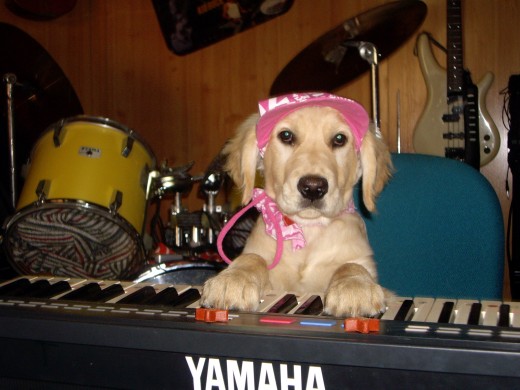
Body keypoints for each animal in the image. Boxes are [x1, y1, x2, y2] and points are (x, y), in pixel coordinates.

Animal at [201, 92, 392, 316]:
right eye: (286, 136)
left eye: (339, 139)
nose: (313, 187)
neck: (307, 230)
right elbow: (252, 258)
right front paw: (233, 279)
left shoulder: (363, 262)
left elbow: (351, 265)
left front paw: (355, 286)